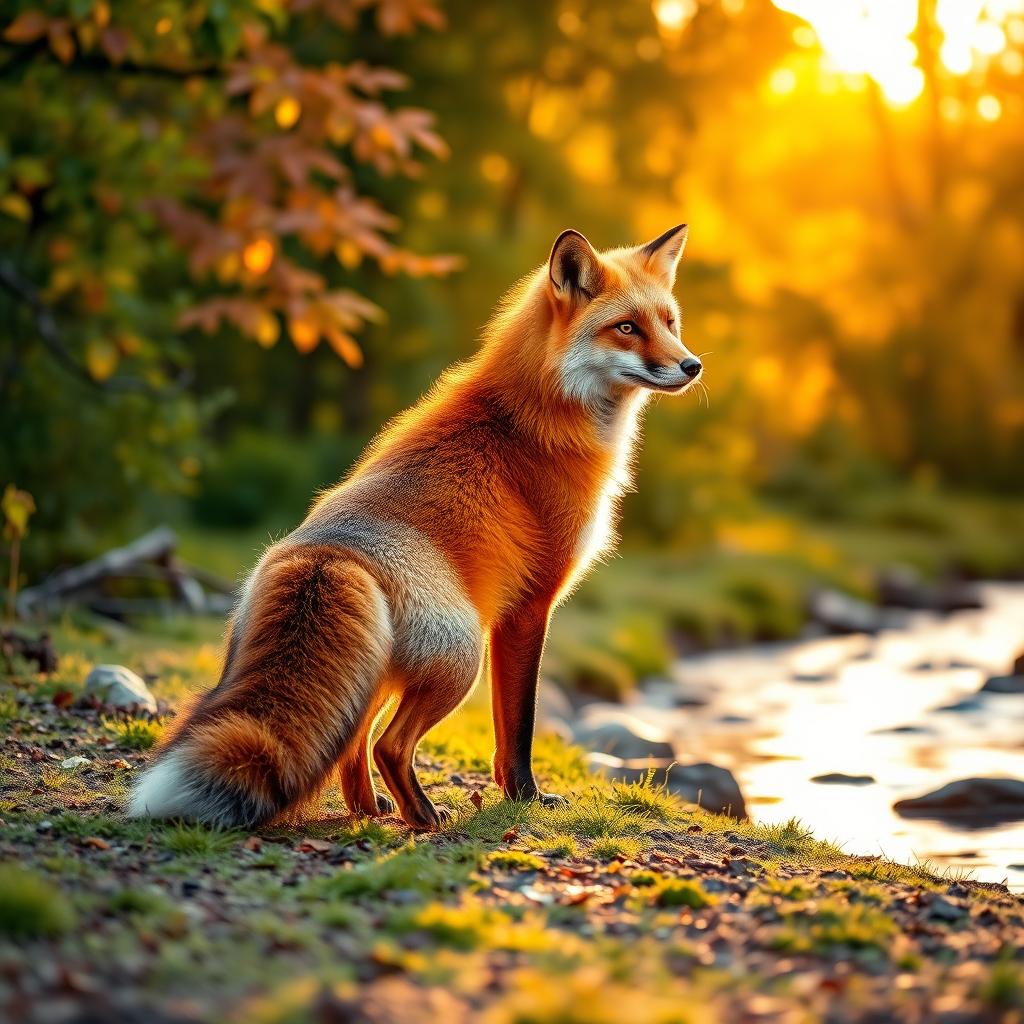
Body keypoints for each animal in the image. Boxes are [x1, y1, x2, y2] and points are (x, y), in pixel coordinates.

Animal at [128, 226, 700, 831]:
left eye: (669, 322)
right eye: (627, 327)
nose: (692, 366)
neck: (541, 412)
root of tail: (330, 554)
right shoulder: (528, 606)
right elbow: (516, 729)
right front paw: (523, 797)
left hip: (374, 674)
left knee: (352, 743)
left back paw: (370, 809)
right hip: (460, 658)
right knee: (387, 745)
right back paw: (421, 815)